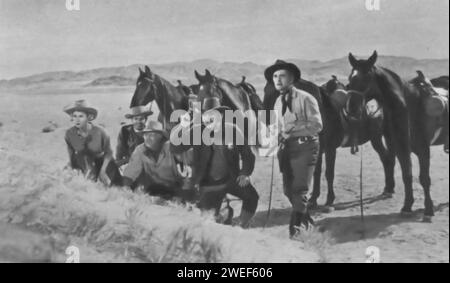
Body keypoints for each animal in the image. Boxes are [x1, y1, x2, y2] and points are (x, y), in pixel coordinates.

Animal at [346, 51, 444, 222]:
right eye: (350, 78)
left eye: (366, 77)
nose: (351, 110)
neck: (409, 107)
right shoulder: (401, 148)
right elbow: (407, 175)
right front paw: (407, 207)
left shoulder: (423, 150)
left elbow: (424, 178)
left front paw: (428, 210)